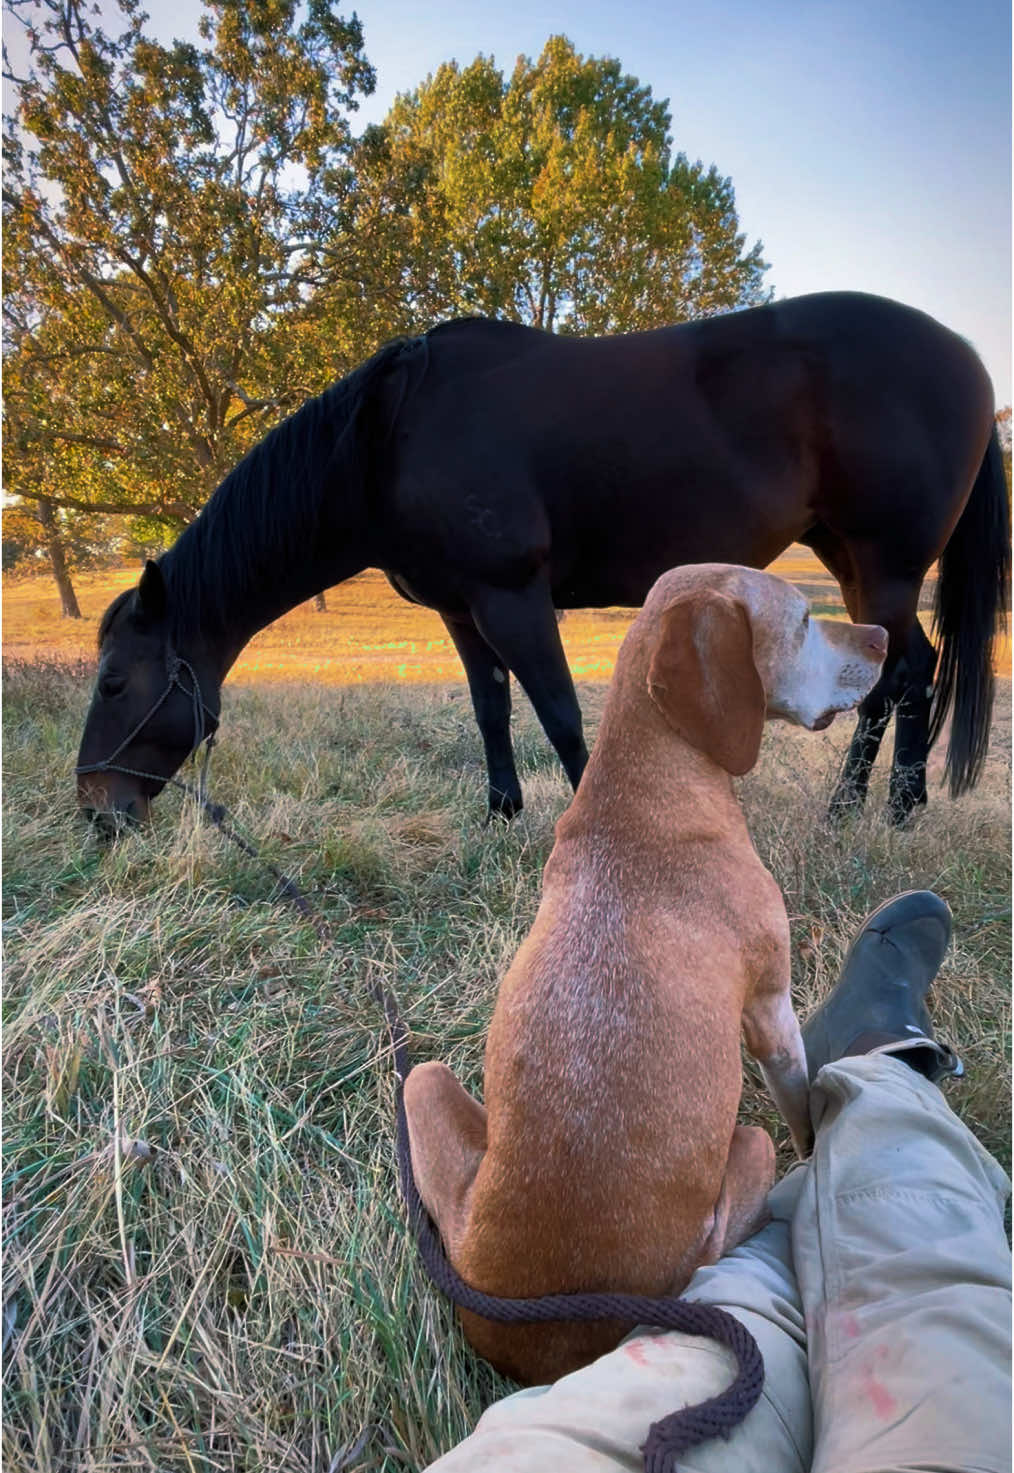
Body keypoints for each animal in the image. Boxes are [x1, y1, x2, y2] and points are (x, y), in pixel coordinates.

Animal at [77, 293, 1008, 830]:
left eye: (115, 681)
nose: (95, 807)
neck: (390, 436)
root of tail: (965, 354)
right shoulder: (462, 609)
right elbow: (492, 709)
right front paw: (501, 813)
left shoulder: (514, 597)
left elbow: (560, 715)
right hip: (851, 561)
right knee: (901, 672)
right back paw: (877, 808)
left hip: (886, 568)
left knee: (904, 674)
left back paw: (872, 811)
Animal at [403, 559, 884, 1378]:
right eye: (801, 620)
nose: (885, 634)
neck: (649, 780)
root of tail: (538, 1327)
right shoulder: (771, 1008)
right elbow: (800, 1108)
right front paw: (818, 1151)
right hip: (741, 1161)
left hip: (424, 1082)